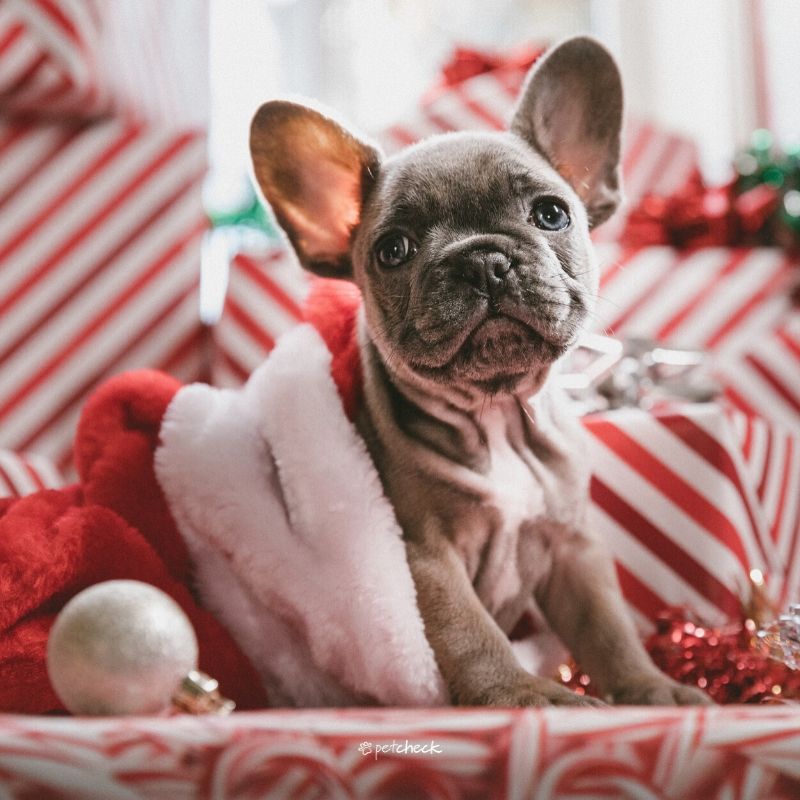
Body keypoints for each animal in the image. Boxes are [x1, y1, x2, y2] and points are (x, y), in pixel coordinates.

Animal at [247, 36, 708, 708]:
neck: (496, 415)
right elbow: (471, 633)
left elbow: (609, 628)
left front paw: (652, 689)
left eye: (551, 215)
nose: (482, 260)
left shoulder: (573, 547)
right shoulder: (425, 558)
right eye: (393, 250)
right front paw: (526, 694)